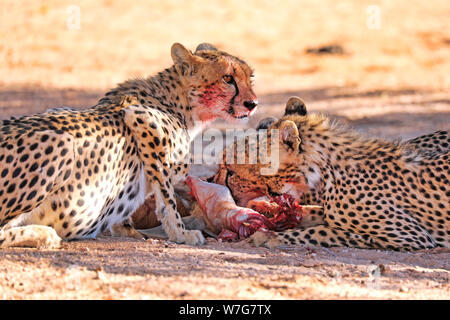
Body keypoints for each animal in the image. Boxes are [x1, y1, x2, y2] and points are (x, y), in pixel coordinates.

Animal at [0, 42, 256, 248]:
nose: (252, 103)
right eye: (227, 78)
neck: (181, 103)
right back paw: (43, 234)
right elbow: (167, 197)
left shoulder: (59, 109)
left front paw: (125, 228)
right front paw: (181, 234)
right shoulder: (141, 120)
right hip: (61, 143)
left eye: (250, 77)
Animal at [213, 96, 448, 251]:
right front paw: (268, 217)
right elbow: (312, 213)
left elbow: (326, 231)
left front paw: (269, 237)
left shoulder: (410, 235)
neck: (324, 171)